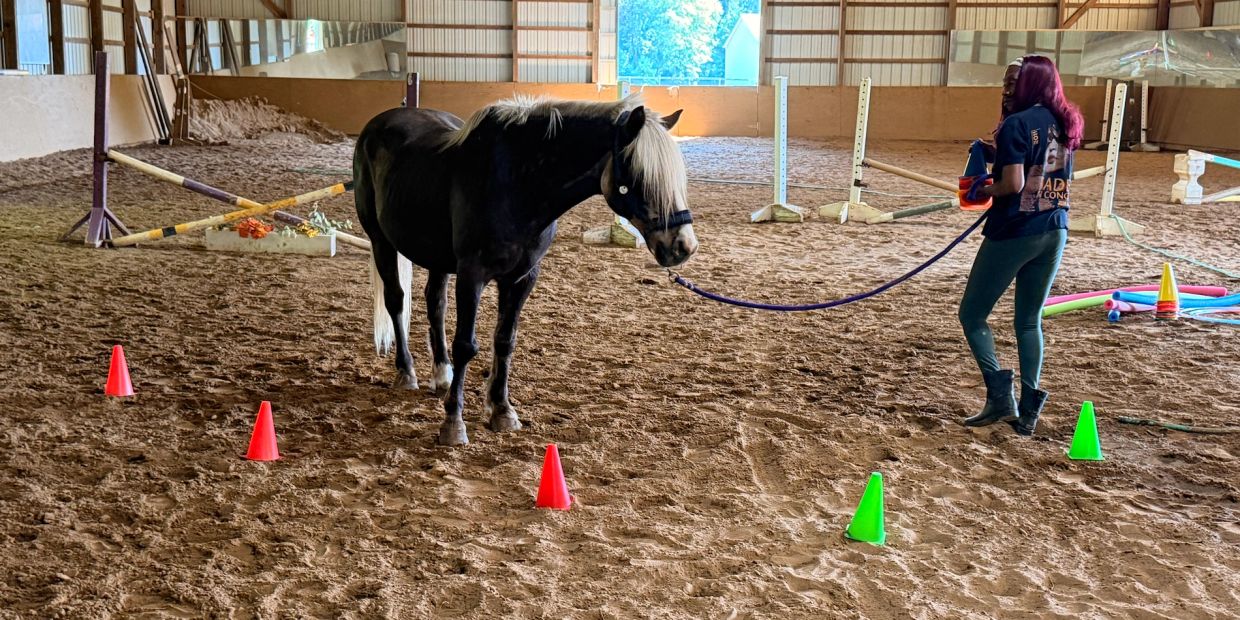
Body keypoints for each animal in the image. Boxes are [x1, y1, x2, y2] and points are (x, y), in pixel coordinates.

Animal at [353, 94, 698, 446]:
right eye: (639, 174)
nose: (683, 246)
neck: (516, 185)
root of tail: (380, 123)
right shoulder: (472, 275)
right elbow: (466, 345)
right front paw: (453, 423)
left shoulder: (522, 278)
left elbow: (505, 340)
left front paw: (502, 411)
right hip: (381, 241)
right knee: (396, 301)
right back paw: (406, 372)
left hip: (438, 259)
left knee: (435, 304)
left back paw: (441, 375)